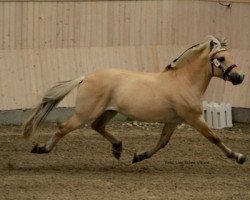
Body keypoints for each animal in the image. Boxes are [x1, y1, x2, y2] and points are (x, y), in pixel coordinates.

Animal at [23, 36, 246, 164]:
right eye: (221, 58)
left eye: (230, 56)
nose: (240, 77)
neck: (184, 81)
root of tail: (86, 77)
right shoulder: (194, 119)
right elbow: (215, 138)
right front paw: (239, 157)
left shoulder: (173, 121)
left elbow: (162, 142)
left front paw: (139, 156)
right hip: (85, 113)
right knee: (64, 128)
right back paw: (41, 148)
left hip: (109, 111)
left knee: (97, 126)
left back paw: (118, 148)